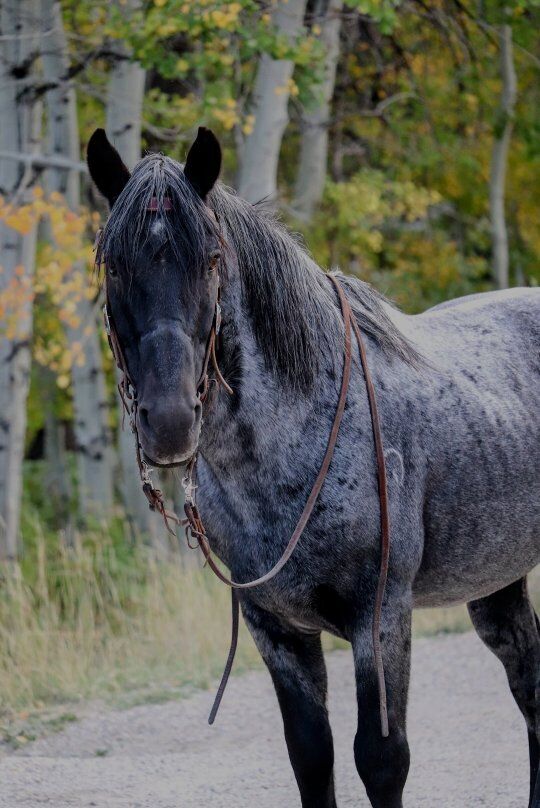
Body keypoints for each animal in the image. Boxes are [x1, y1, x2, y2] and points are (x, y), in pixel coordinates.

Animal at [87, 126, 540, 808]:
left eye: (211, 260)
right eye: (113, 264)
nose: (168, 421)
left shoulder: (380, 618)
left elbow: (381, 759)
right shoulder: (275, 629)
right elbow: (311, 755)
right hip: (496, 579)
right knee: (530, 684)